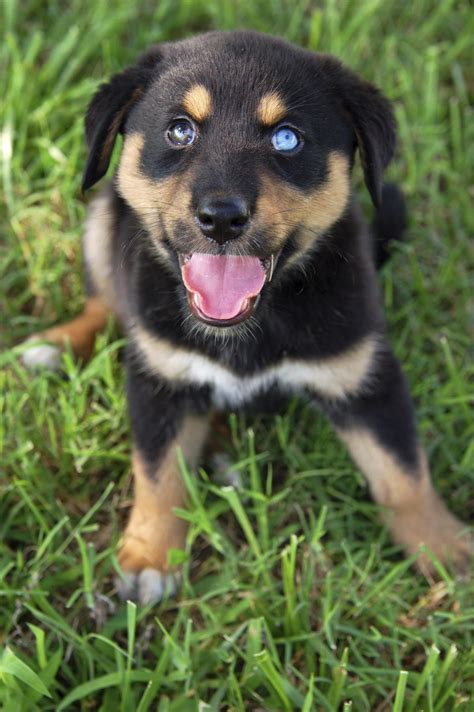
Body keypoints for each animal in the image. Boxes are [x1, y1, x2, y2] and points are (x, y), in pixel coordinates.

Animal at [23, 30, 470, 604]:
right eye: (180, 130)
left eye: (287, 138)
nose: (221, 218)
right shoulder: (160, 378)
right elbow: (158, 474)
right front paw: (149, 558)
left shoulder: (363, 374)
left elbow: (403, 472)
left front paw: (446, 549)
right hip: (104, 216)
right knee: (102, 303)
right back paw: (54, 348)